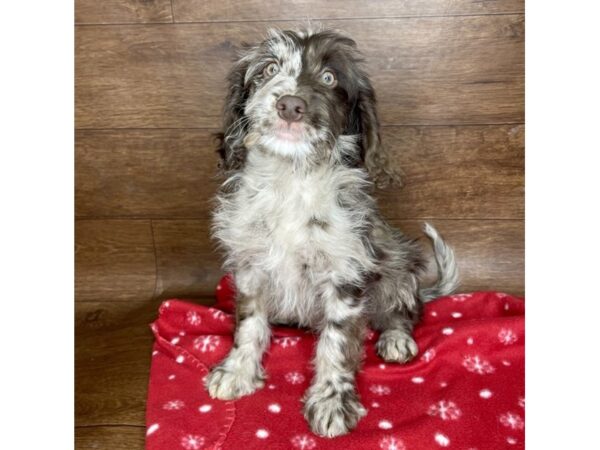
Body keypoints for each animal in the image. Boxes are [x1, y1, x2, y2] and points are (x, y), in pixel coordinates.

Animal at [206, 26, 460, 438]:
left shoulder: (345, 272)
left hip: (395, 260)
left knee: (402, 309)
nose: (290, 105)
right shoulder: (250, 266)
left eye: (329, 78)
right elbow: (249, 324)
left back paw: (396, 337)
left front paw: (332, 400)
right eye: (269, 69)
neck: (292, 180)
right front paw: (238, 370)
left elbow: (337, 341)